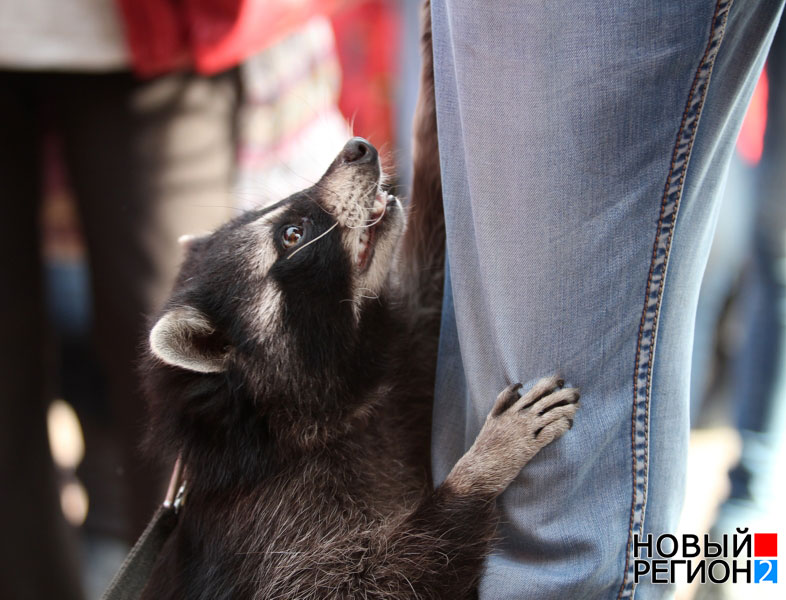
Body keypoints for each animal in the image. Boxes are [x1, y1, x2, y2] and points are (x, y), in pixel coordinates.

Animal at [139, 2, 576, 596]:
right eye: (292, 234)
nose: (357, 149)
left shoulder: (401, 374)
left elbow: (435, 261)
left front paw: (432, 55)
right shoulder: (274, 523)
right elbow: (374, 580)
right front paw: (479, 470)